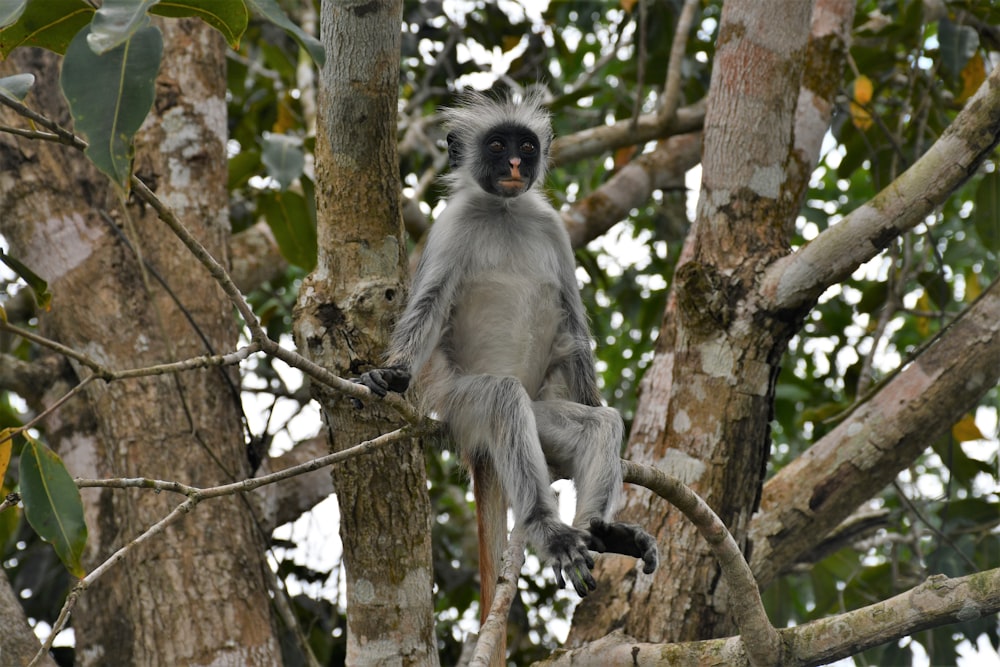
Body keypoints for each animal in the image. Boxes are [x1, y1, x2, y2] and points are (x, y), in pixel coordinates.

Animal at [360, 88, 656, 636]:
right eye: (498, 146)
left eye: (527, 145)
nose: (517, 164)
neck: (504, 210)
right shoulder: (453, 225)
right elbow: (428, 306)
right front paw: (391, 373)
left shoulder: (551, 226)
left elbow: (572, 324)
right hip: (461, 407)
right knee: (500, 398)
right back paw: (551, 530)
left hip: (544, 420)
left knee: (599, 423)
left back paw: (599, 532)